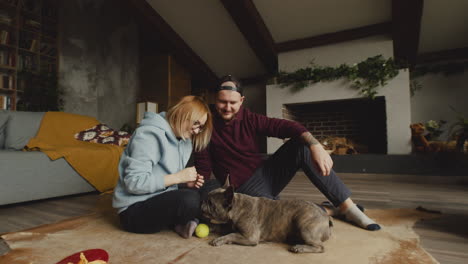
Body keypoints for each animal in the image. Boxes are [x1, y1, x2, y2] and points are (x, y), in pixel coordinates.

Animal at [201, 187, 332, 253]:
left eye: (210, 203)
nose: (202, 201)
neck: (236, 206)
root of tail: (326, 218)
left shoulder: (250, 237)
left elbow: (231, 234)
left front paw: (219, 239)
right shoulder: (229, 225)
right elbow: (222, 227)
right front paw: (211, 226)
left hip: (304, 226)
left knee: (320, 247)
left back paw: (300, 247)